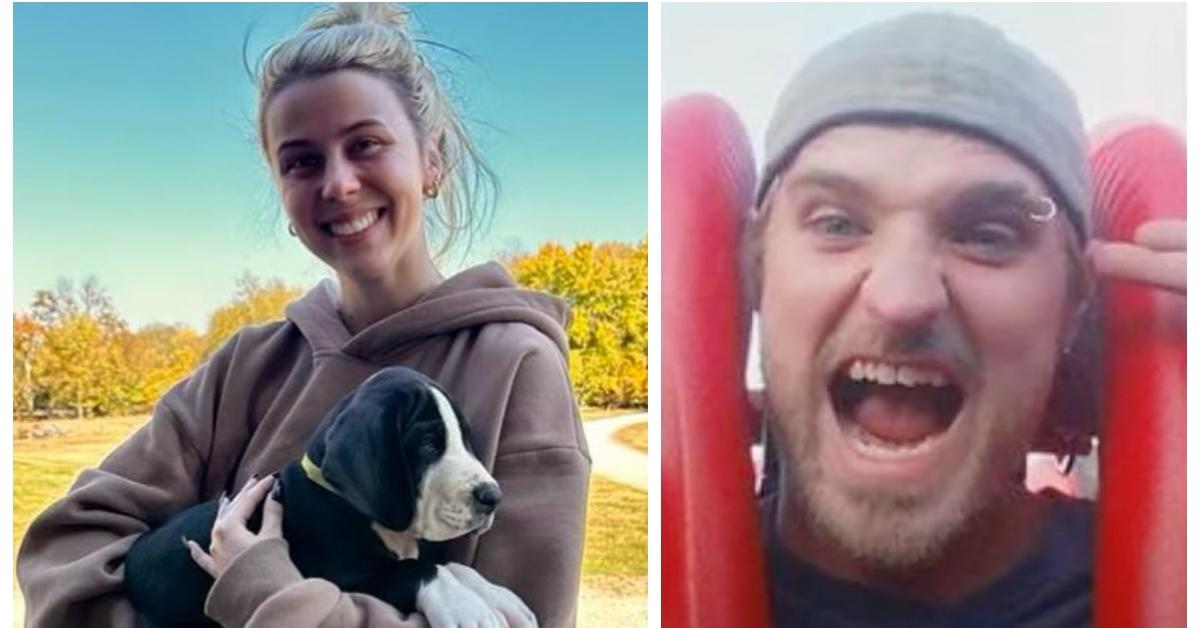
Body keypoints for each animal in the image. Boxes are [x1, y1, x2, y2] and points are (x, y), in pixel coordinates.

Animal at [124, 365, 532, 624]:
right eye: (429, 444)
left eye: (465, 438)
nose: (493, 497)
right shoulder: (340, 580)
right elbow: (419, 568)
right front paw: (467, 608)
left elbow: (453, 566)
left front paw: (498, 595)